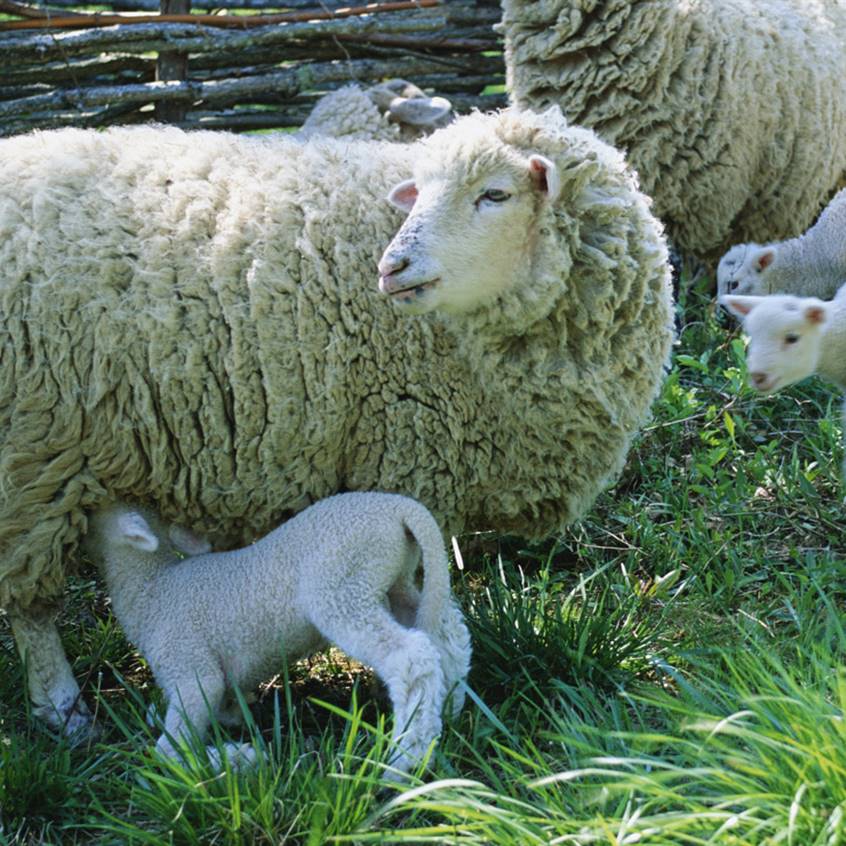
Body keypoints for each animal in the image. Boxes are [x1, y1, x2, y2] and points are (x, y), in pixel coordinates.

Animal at [0, 105, 674, 737]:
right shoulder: (408, 458)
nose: (391, 267)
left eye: (496, 194)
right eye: (419, 194)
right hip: (34, 458)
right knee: (31, 606)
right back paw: (62, 710)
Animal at [87, 492, 471, 775]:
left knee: (410, 655)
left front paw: (236, 759)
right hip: (395, 581)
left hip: (343, 586)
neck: (153, 589)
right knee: (447, 637)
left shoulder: (189, 666)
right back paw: (448, 713)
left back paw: (405, 757)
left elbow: (170, 749)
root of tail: (399, 507)